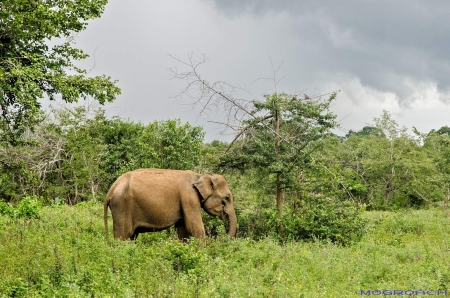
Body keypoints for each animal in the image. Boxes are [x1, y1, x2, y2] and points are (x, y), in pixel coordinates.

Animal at [103, 169, 237, 241]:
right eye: (227, 197)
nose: (219, 238)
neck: (200, 176)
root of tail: (112, 188)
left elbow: (183, 231)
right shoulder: (189, 197)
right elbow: (195, 228)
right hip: (121, 205)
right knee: (122, 236)